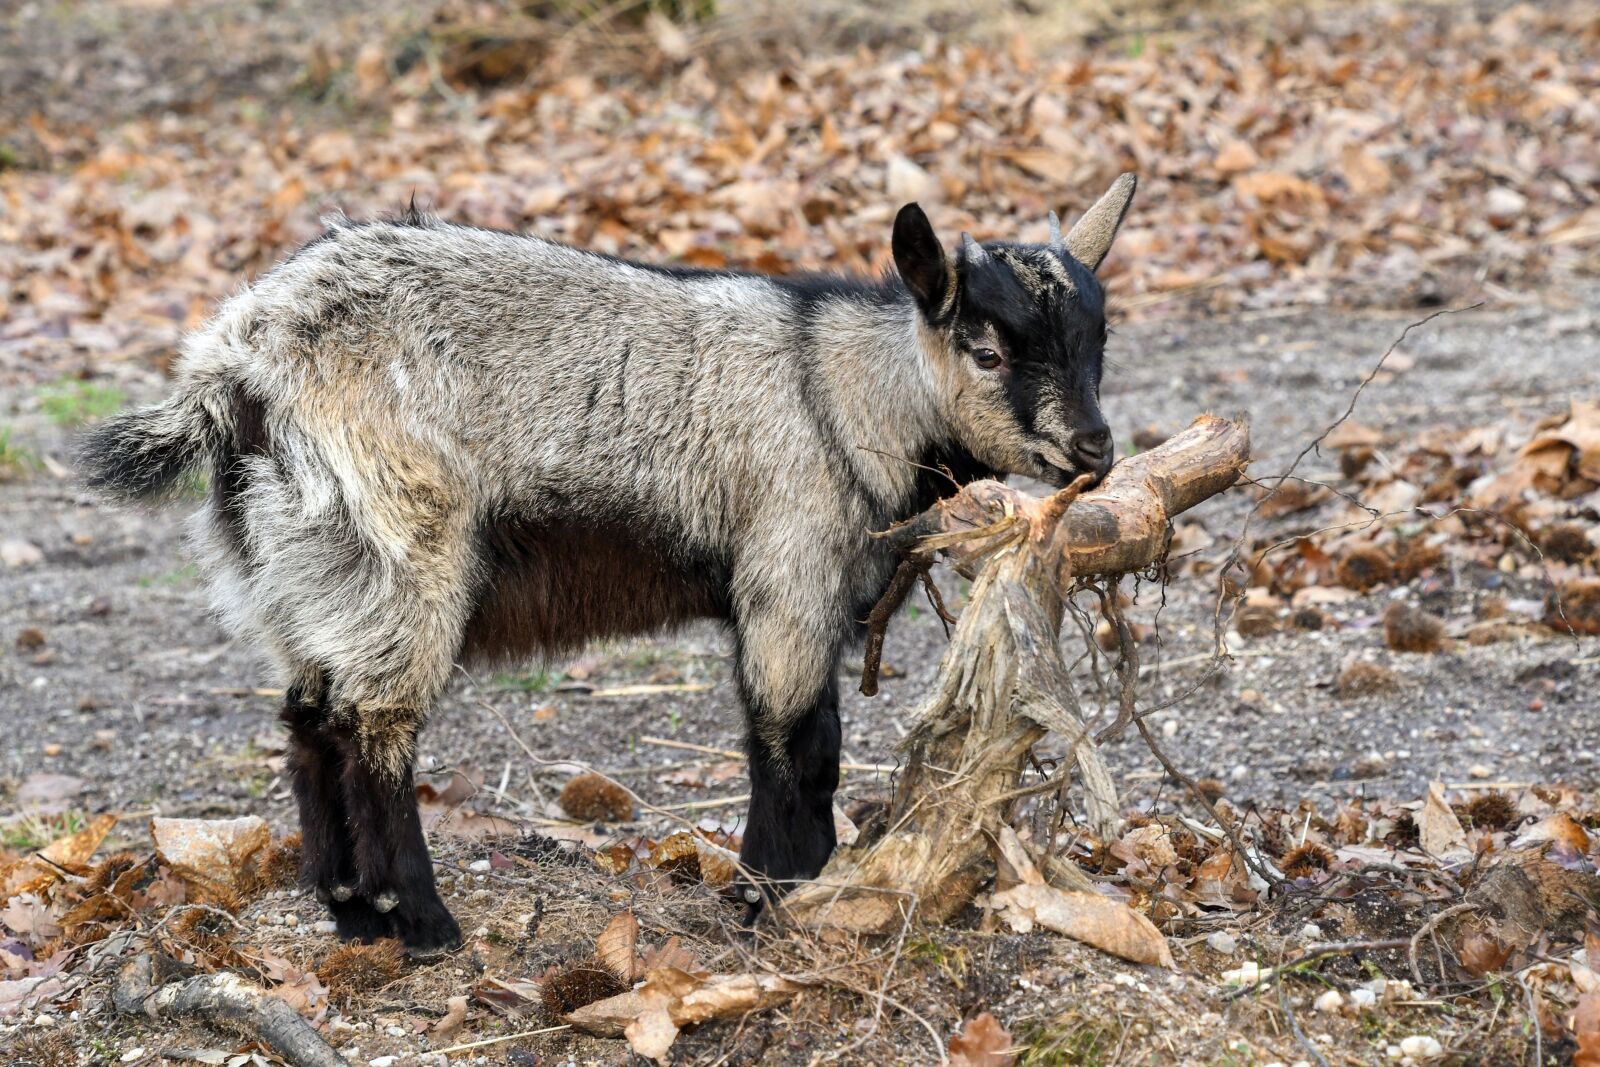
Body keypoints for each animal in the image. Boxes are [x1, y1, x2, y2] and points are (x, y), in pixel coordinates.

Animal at [80, 174, 1138, 954]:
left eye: (1098, 339)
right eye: (988, 352)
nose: (1094, 450)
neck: (841, 394)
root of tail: (236, 369)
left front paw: (787, 885)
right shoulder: (787, 571)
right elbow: (799, 743)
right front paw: (774, 893)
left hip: (300, 563)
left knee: (311, 722)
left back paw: (347, 909)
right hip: (400, 544)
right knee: (373, 726)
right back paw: (420, 921)